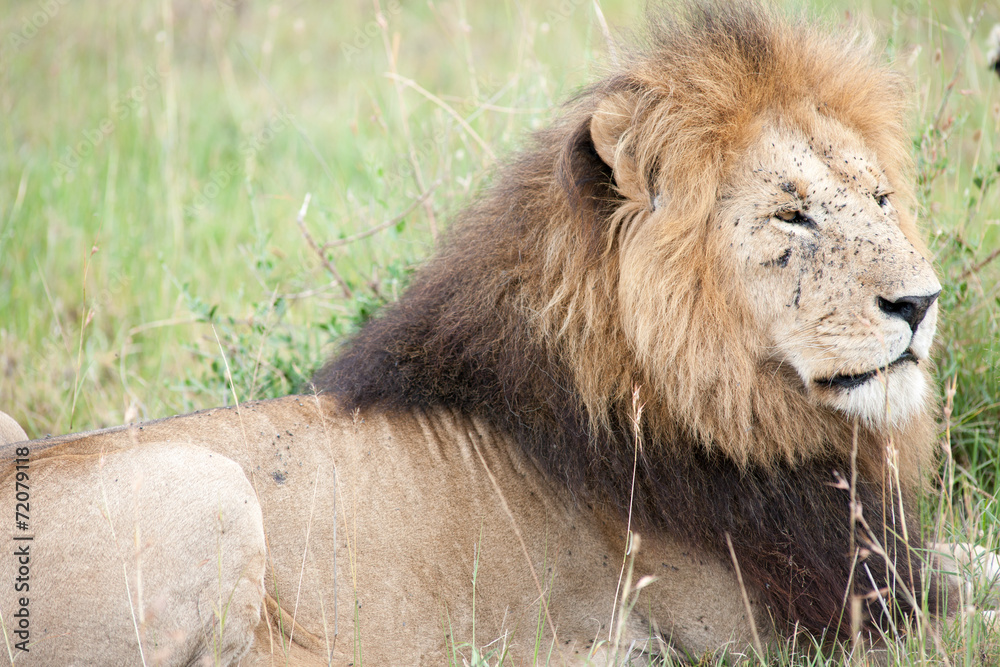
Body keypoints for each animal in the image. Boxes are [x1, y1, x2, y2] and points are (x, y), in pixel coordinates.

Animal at [0, 1, 990, 664]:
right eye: (792, 214)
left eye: (881, 199)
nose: (921, 302)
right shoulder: (771, 627)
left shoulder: (873, 563)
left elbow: (979, 559)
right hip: (206, 487)